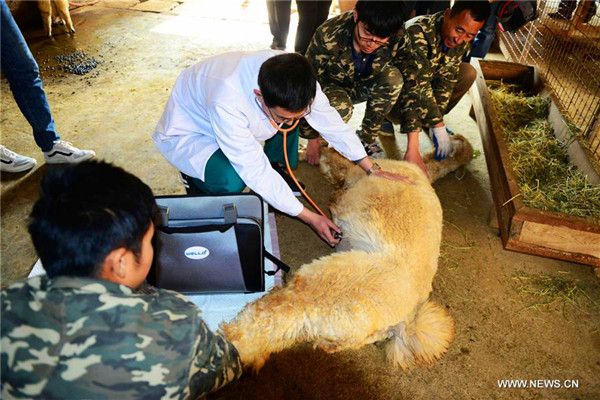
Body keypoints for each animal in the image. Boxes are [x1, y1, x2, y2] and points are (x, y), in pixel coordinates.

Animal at [220, 134, 474, 372]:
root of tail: (406, 321)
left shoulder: (352, 170)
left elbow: (334, 158)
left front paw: (307, 151)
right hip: (341, 328)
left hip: (320, 288)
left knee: (265, 322)